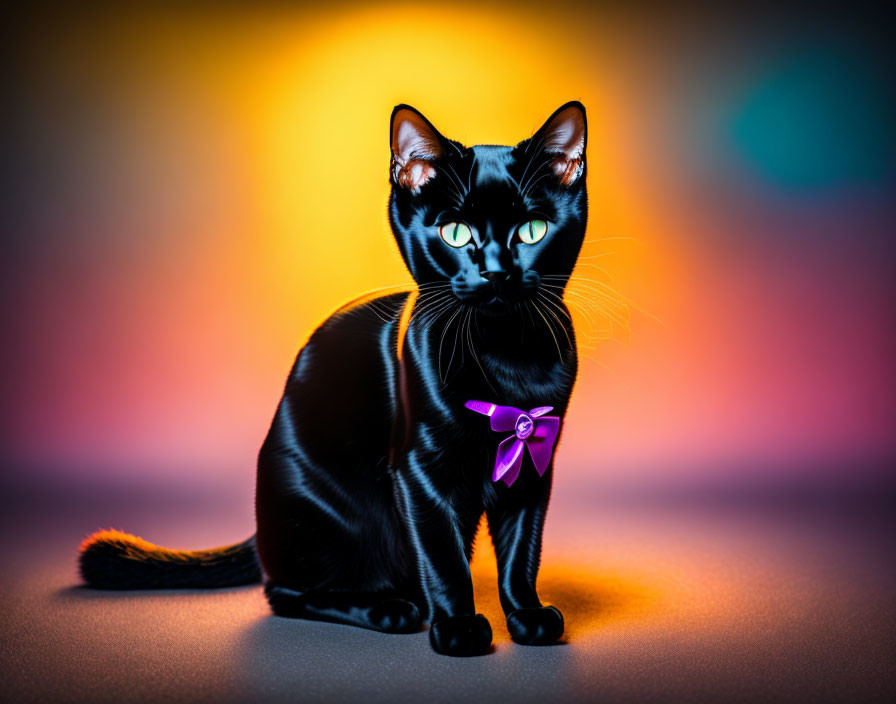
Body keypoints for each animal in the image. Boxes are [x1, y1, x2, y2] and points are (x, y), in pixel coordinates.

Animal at [80, 102, 592, 656]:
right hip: (326, 521)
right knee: (288, 593)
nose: (497, 273)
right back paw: (390, 609)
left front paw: (527, 616)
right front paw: (458, 628)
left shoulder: (535, 462)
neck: (505, 357)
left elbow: (522, 552)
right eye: (456, 233)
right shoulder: (420, 469)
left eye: (532, 230)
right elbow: (443, 556)